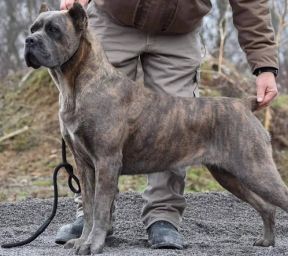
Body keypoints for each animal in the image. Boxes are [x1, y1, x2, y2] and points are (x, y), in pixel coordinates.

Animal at [24, 3, 288, 255]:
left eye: (53, 30)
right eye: (33, 28)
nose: (29, 41)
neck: (77, 85)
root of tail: (244, 104)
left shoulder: (106, 161)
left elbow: (100, 208)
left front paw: (93, 245)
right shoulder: (85, 164)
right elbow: (88, 207)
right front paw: (82, 241)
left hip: (256, 169)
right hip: (229, 175)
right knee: (266, 207)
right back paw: (266, 241)